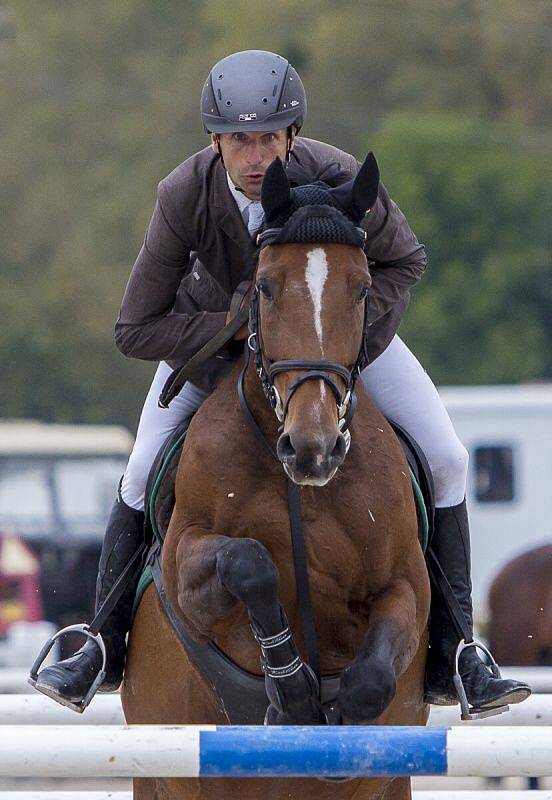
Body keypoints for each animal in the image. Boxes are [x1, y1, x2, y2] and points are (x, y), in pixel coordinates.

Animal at [121, 155, 432, 800]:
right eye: (263, 286)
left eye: (362, 288)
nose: (313, 448)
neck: (301, 489)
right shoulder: (187, 569)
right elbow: (249, 562)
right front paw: (289, 690)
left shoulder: (406, 584)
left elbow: (373, 678)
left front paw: (338, 725)